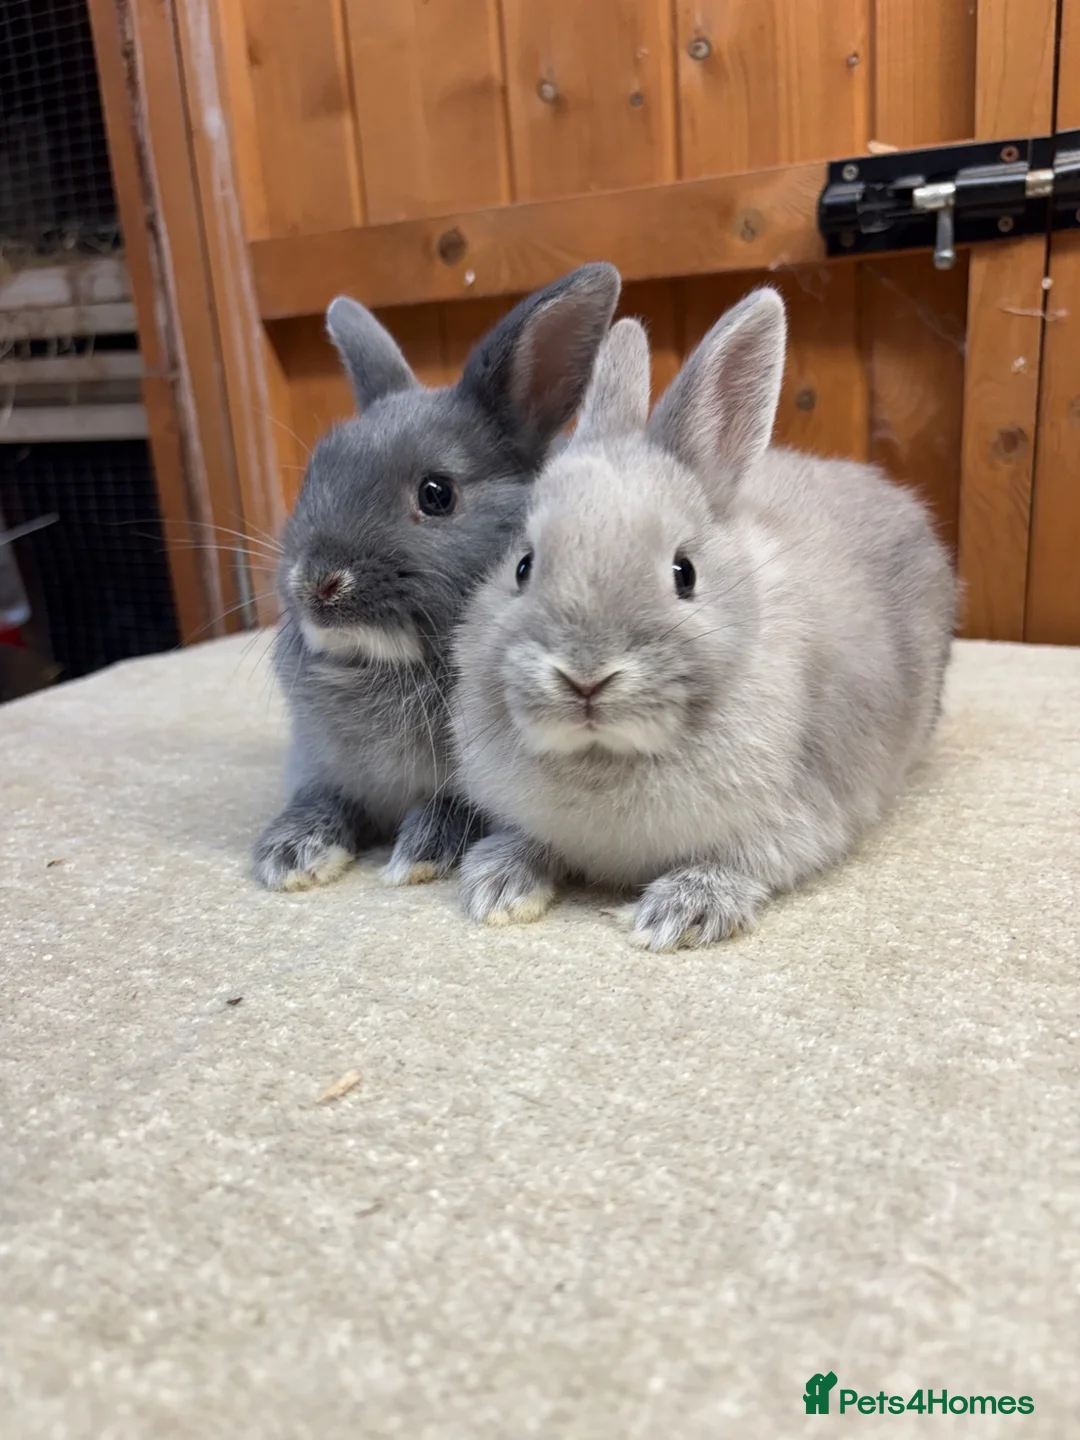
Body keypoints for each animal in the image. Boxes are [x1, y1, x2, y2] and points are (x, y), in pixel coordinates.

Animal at [253, 263, 621, 891]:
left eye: (437, 494)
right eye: (314, 474)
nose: (318, 583)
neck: (381, 668)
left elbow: (455, 808)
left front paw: (421, 852)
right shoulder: (324, 767)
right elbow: (321, 798)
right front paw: (290, 855)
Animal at [451, 288, 957, 949]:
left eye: (684, 573)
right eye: (522, 566)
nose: (585, 678)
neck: (605, 757)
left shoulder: (799, 814)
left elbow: (739, 862)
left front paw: (678, 914)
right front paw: (497, 888)